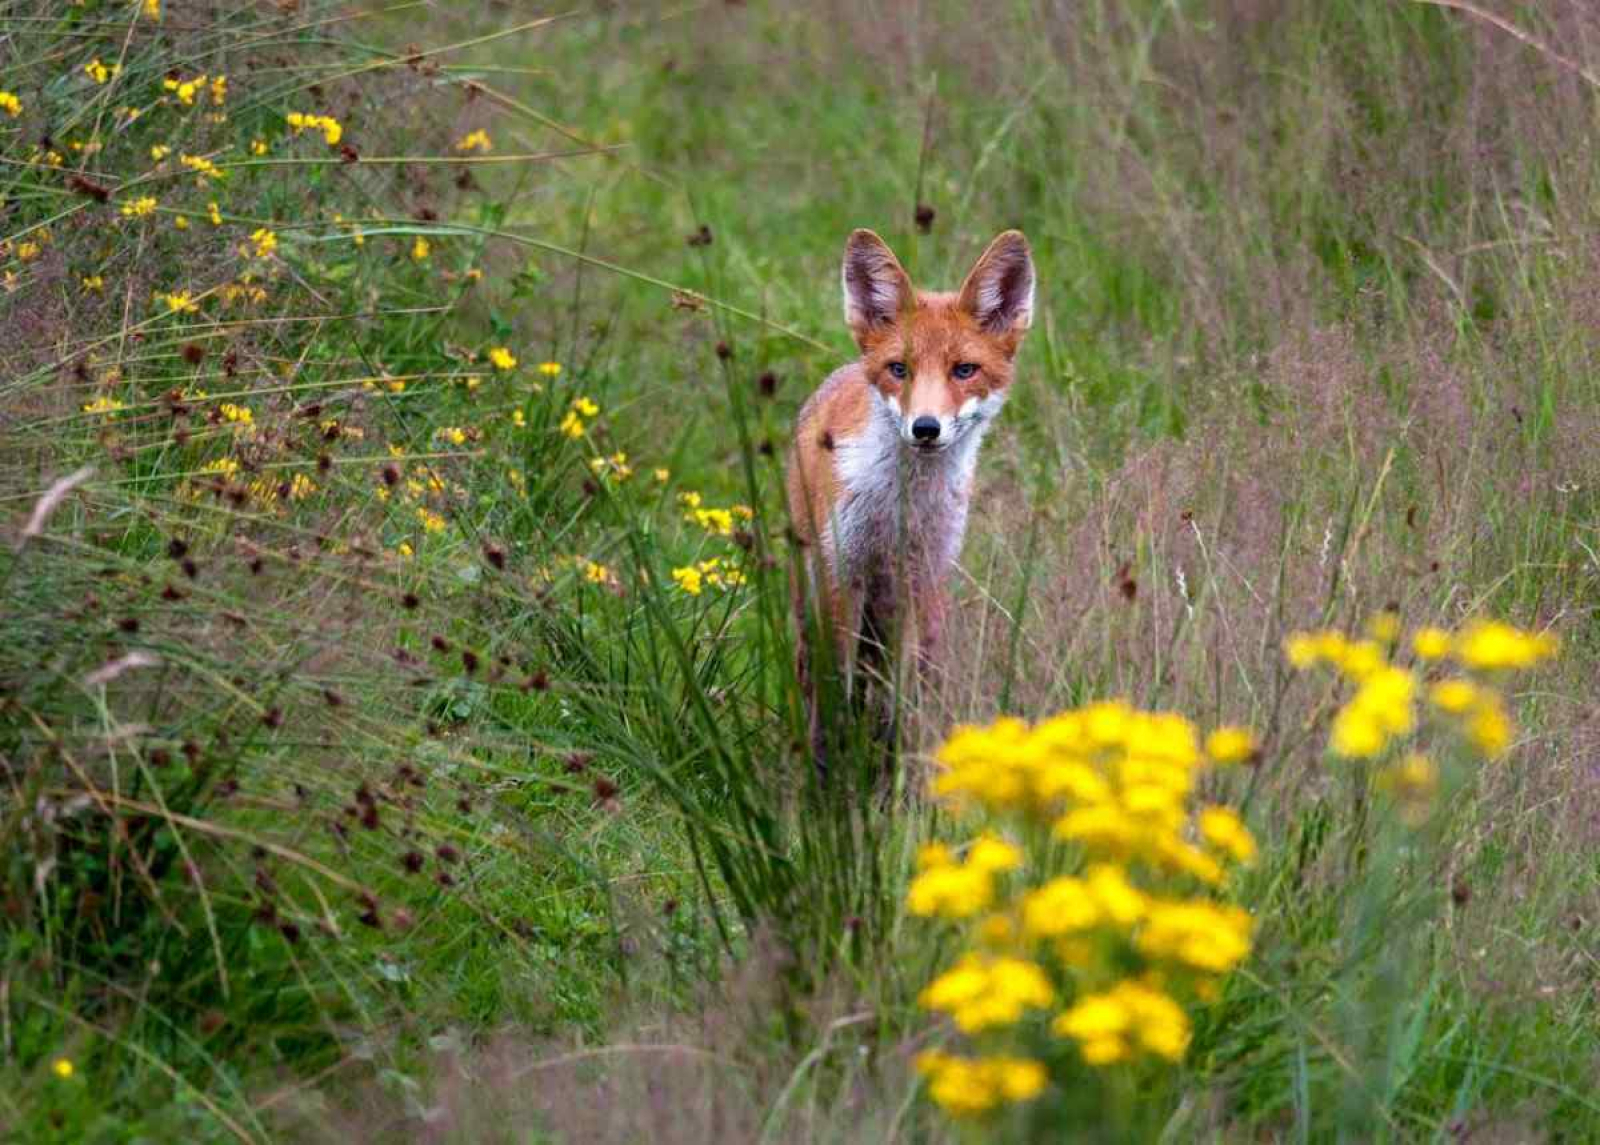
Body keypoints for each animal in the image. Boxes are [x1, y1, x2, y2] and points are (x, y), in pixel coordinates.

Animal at [787, 225, 1036, 742]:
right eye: (899, 370)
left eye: (964, 370)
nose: (925, 428)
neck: (897, 507)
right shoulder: (842, 571)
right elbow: (838, 689)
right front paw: (839, 756)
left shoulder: (918, 577)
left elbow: (903, 697)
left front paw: (897, 751)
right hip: (808, 590)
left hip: (918, 604)